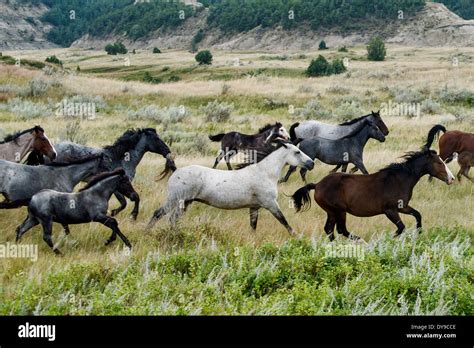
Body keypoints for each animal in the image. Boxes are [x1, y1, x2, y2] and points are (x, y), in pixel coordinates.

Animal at [146, 141, 312, 234]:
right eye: (297, 152)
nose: (311, 163)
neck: (264, 173)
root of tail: (177, 170)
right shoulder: (270, 204)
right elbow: (284, 221)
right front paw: (295, 236)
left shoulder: (254, 207)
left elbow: (253, 226)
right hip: (175, 200)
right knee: (158, 214)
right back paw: (148, 232)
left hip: (185, 203)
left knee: (173, 219)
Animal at [290, 150, 454, 242]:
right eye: (439, 163)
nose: (451, 179)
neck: (400, 179)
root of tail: (317, 185)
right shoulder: (390, 210)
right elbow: (401, 228)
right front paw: (385, 240)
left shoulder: (403, 207)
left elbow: (417, 215)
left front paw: (419, 232)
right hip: (339, 211)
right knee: (341, 229)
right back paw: (362, 241)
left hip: (331, 212)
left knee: (329, 229)